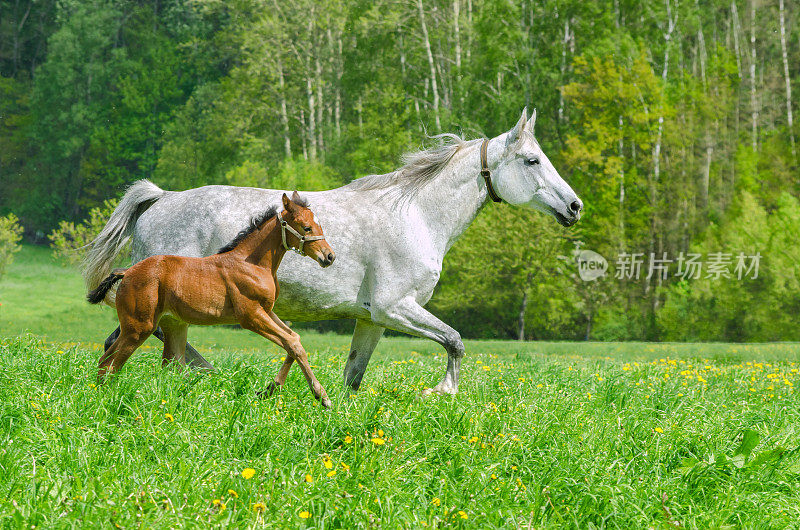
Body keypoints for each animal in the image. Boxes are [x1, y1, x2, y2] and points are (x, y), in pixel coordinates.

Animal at [86, 193, 336, 404]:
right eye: (306, 227)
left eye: (319, 225)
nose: (329, 256)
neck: (252, 264)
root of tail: (127, 272)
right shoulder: (251, 315)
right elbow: (292, 342)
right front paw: (322, 397)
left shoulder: (267, 311)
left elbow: (293, 339)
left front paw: (269, 389)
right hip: (138, 327)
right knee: (108, 363)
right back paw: (105, 401)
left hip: (174, 325)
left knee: (171, 365)